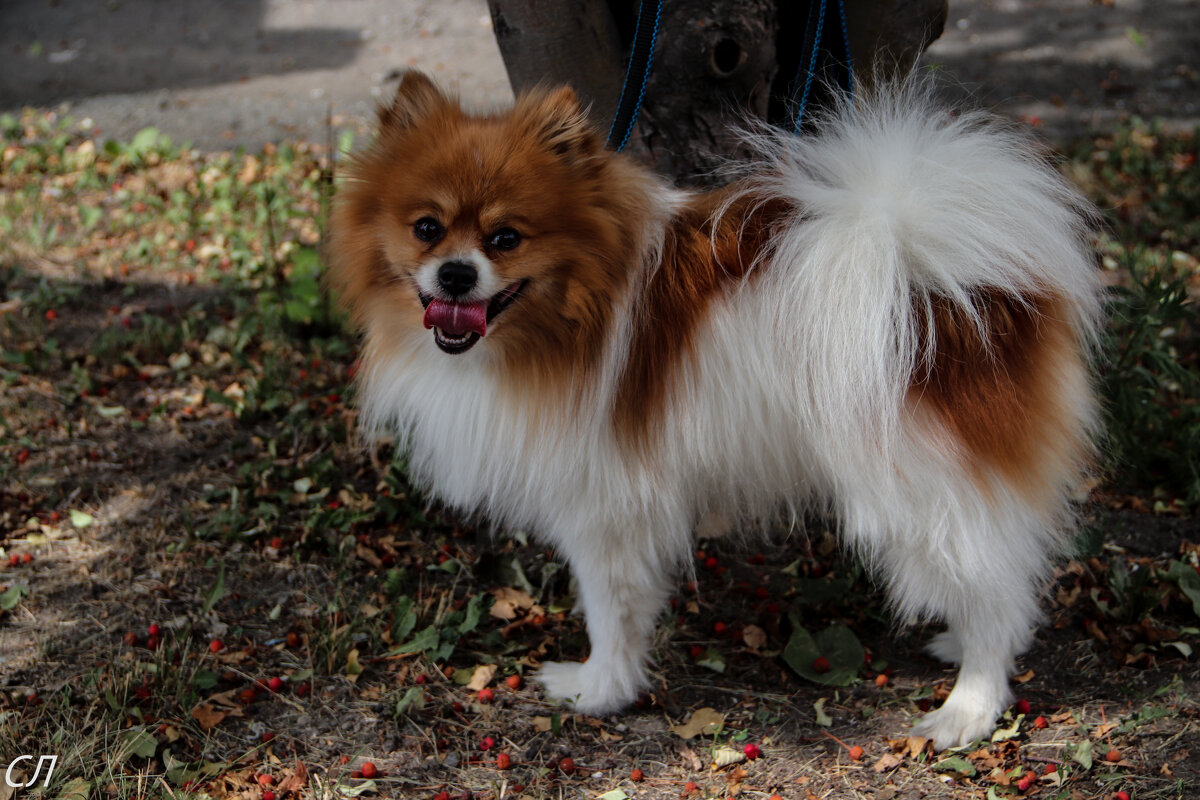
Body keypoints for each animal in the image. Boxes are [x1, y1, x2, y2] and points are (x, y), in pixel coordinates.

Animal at [324, 70, 1099, 753]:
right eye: (427, 228)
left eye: (506, 238)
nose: (455, 274)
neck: (569, 316)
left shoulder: (605, 506)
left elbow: (611, 609)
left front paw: (598, 689)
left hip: (918, 483)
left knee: (995, 592)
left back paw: (969, 705)